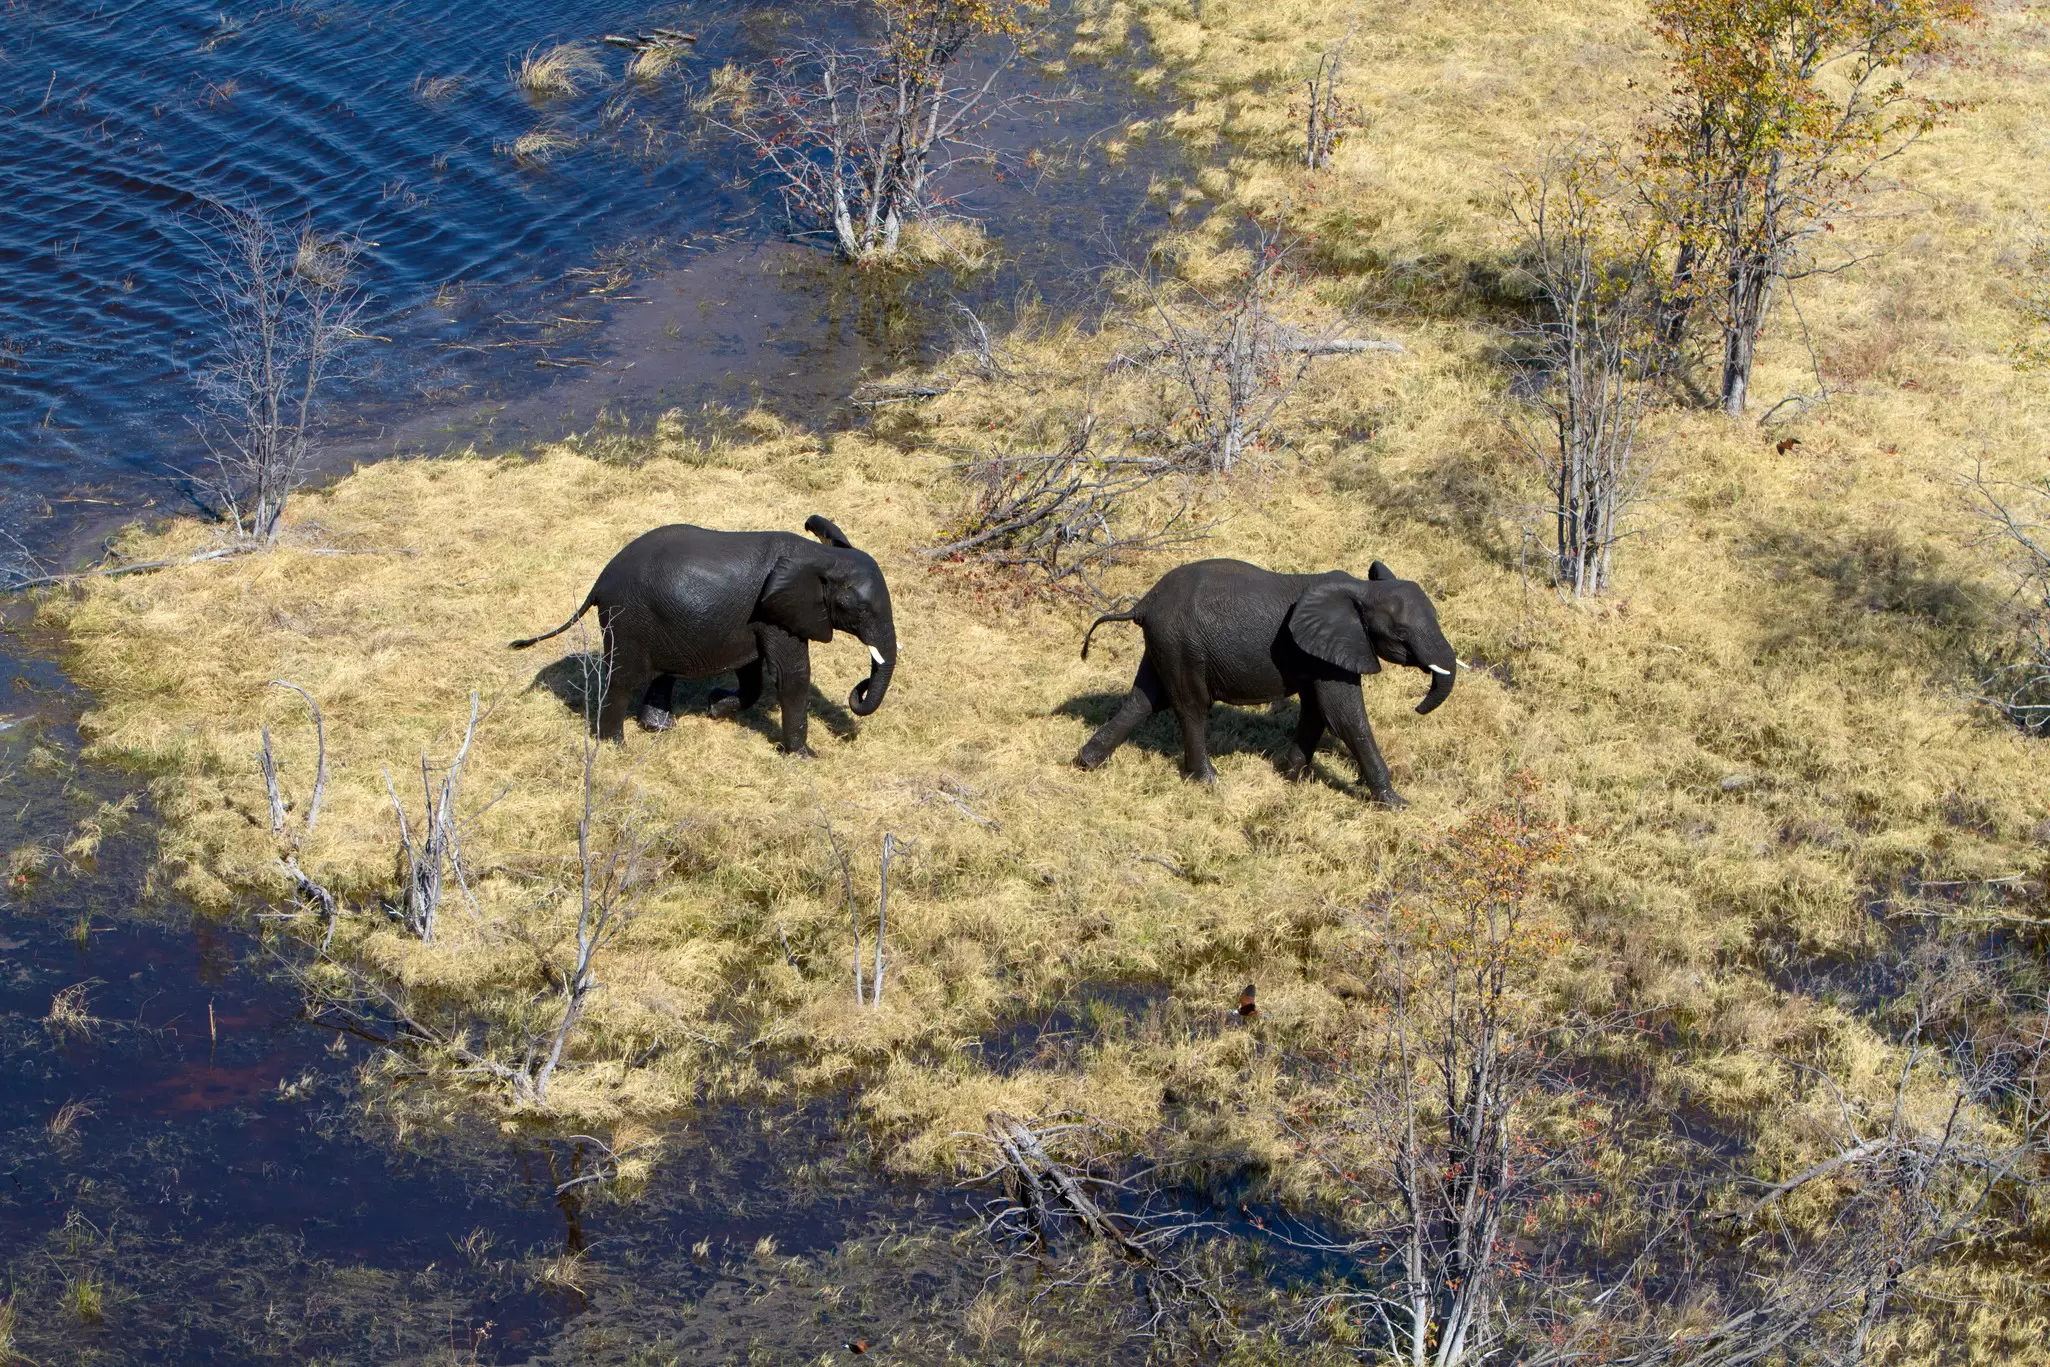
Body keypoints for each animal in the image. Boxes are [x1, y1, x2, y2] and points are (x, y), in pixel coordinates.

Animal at [511, 515, 897, 752]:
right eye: (857, 609)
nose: (858, 689)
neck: (821, 556)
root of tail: (599, 581)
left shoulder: (753, 619)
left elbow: (752, 674)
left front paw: (715, 707)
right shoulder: (777, 613)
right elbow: (791, 675)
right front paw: (804, 756)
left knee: (660, 673)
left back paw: (660, 727)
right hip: (628, 619)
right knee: (622, 679)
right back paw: (615, 747)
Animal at [1072, 558, 1456, 805]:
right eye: (1401, 635)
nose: (1417, 707)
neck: (1362, 591)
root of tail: (1144, 602)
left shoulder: (1320, 652)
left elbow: (1317, 710)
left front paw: (1289, 777)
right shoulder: (1335, 647)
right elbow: (1345, 716)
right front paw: (1396, 804)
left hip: (1166, 642)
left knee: (1144, 699)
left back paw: (1087, 763)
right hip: (1182, 643)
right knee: (1191, 707)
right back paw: (1208, 782)